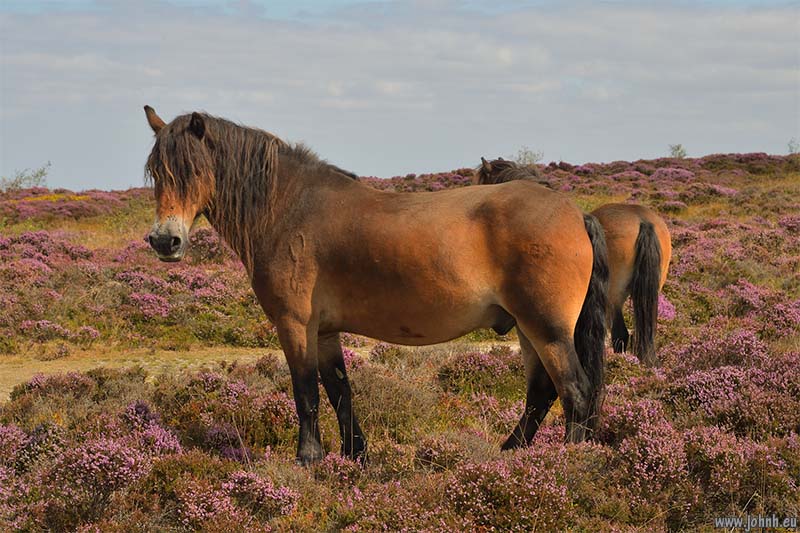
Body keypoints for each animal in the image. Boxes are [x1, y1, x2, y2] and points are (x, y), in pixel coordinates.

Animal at [142, 106, 609, 463]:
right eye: (155, 173)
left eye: (192, 170)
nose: (165, 241)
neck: (289, 209)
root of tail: (577, 213)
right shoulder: (324, 332)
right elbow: (339, 391)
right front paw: (355, 456)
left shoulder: (294, 325)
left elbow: (305, 392)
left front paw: (308, 459)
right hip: (529, 329)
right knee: (542, 393)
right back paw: (511, 452)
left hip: (546, 328)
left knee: (574, 391)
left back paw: (570, 461)